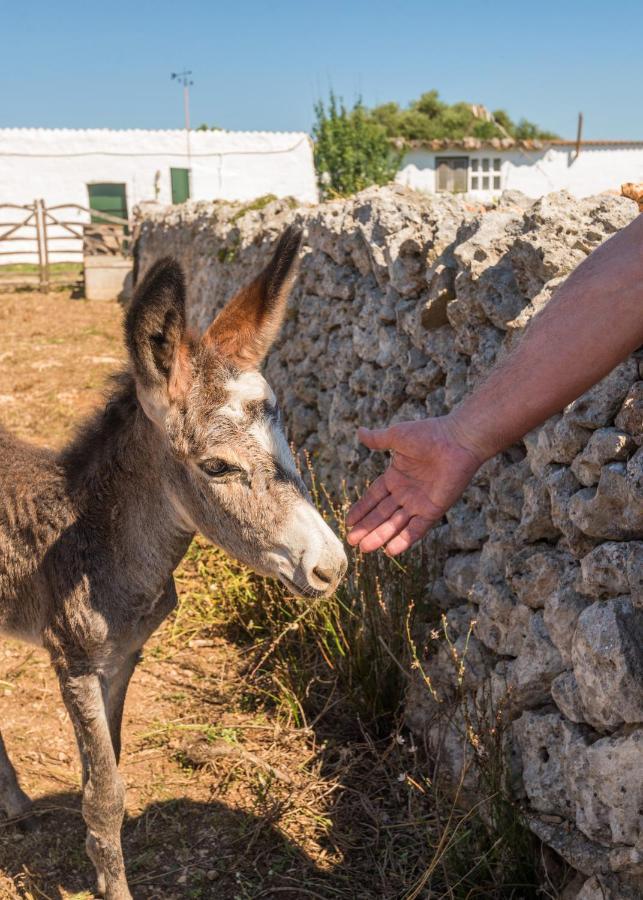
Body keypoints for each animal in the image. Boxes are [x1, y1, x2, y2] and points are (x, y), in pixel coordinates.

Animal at [0, 227, 348, 900]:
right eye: (216, 466)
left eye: (287, 444)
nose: (332, 566)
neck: (102, 551)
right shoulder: (73, 660)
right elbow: (103, 796)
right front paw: (114, 889)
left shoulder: (124, 658)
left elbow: (108, 772)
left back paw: (15, 804)